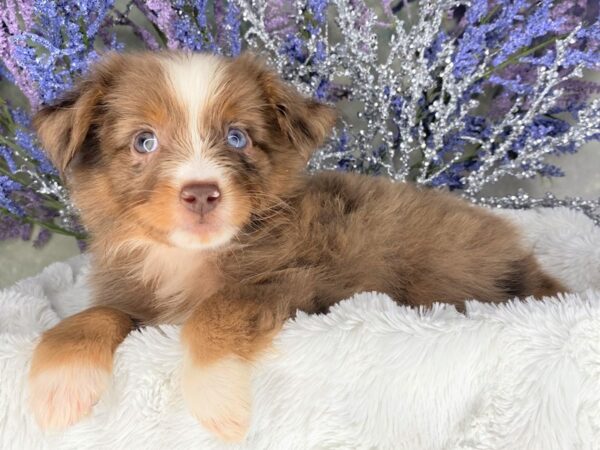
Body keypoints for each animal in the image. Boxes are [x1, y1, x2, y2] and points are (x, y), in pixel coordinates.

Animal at [27, 51, 564, 442]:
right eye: (144, 141)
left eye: (237, 137)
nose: (201, 193)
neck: (189, 256)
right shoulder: (137, 299)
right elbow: (93, 316)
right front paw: (58, 383)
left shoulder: (293, 280)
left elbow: (213, 314)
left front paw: (217, 400)